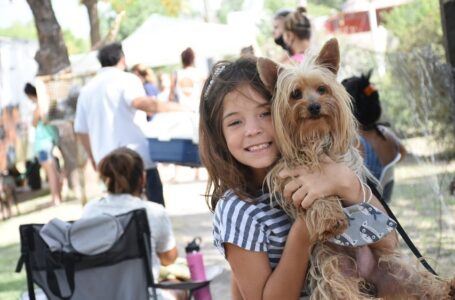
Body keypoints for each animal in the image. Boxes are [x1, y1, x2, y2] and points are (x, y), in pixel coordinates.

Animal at [258, 38, 454, 298]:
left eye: (322, 89)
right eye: (295, 94)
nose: (314, 106)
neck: (314, 138)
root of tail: (367, 275)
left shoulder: (345, 166)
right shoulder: (287, 171)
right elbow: (320, 197)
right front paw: (330, 219)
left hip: (395, 269)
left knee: (422, 285)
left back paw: (447, 288)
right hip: (336, 269)